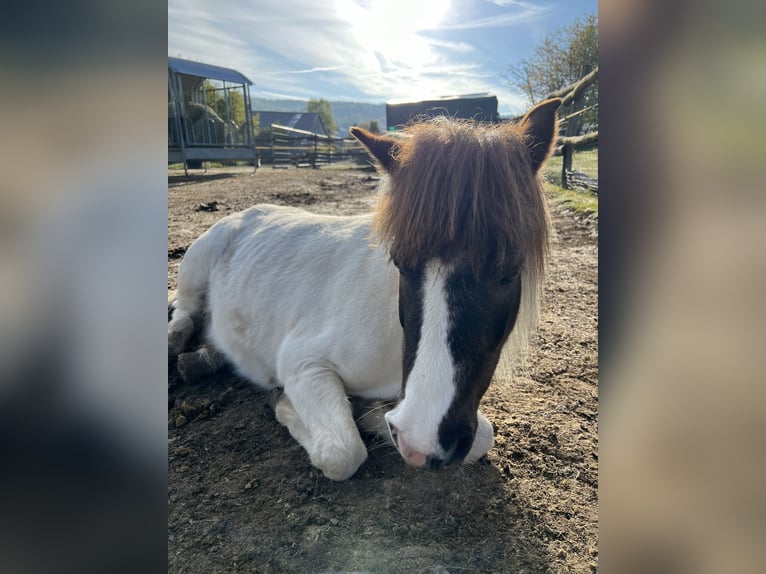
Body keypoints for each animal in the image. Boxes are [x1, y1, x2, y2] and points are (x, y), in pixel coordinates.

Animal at [168, 98, 561, 480]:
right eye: (399, 263)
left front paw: (371, 411)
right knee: (184, 310)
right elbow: (342, 453)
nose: (421, 440)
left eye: (510, 271)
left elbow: (482, 436)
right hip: (195, 265)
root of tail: (246, 212)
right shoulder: (304, 363)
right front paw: (286, 403)